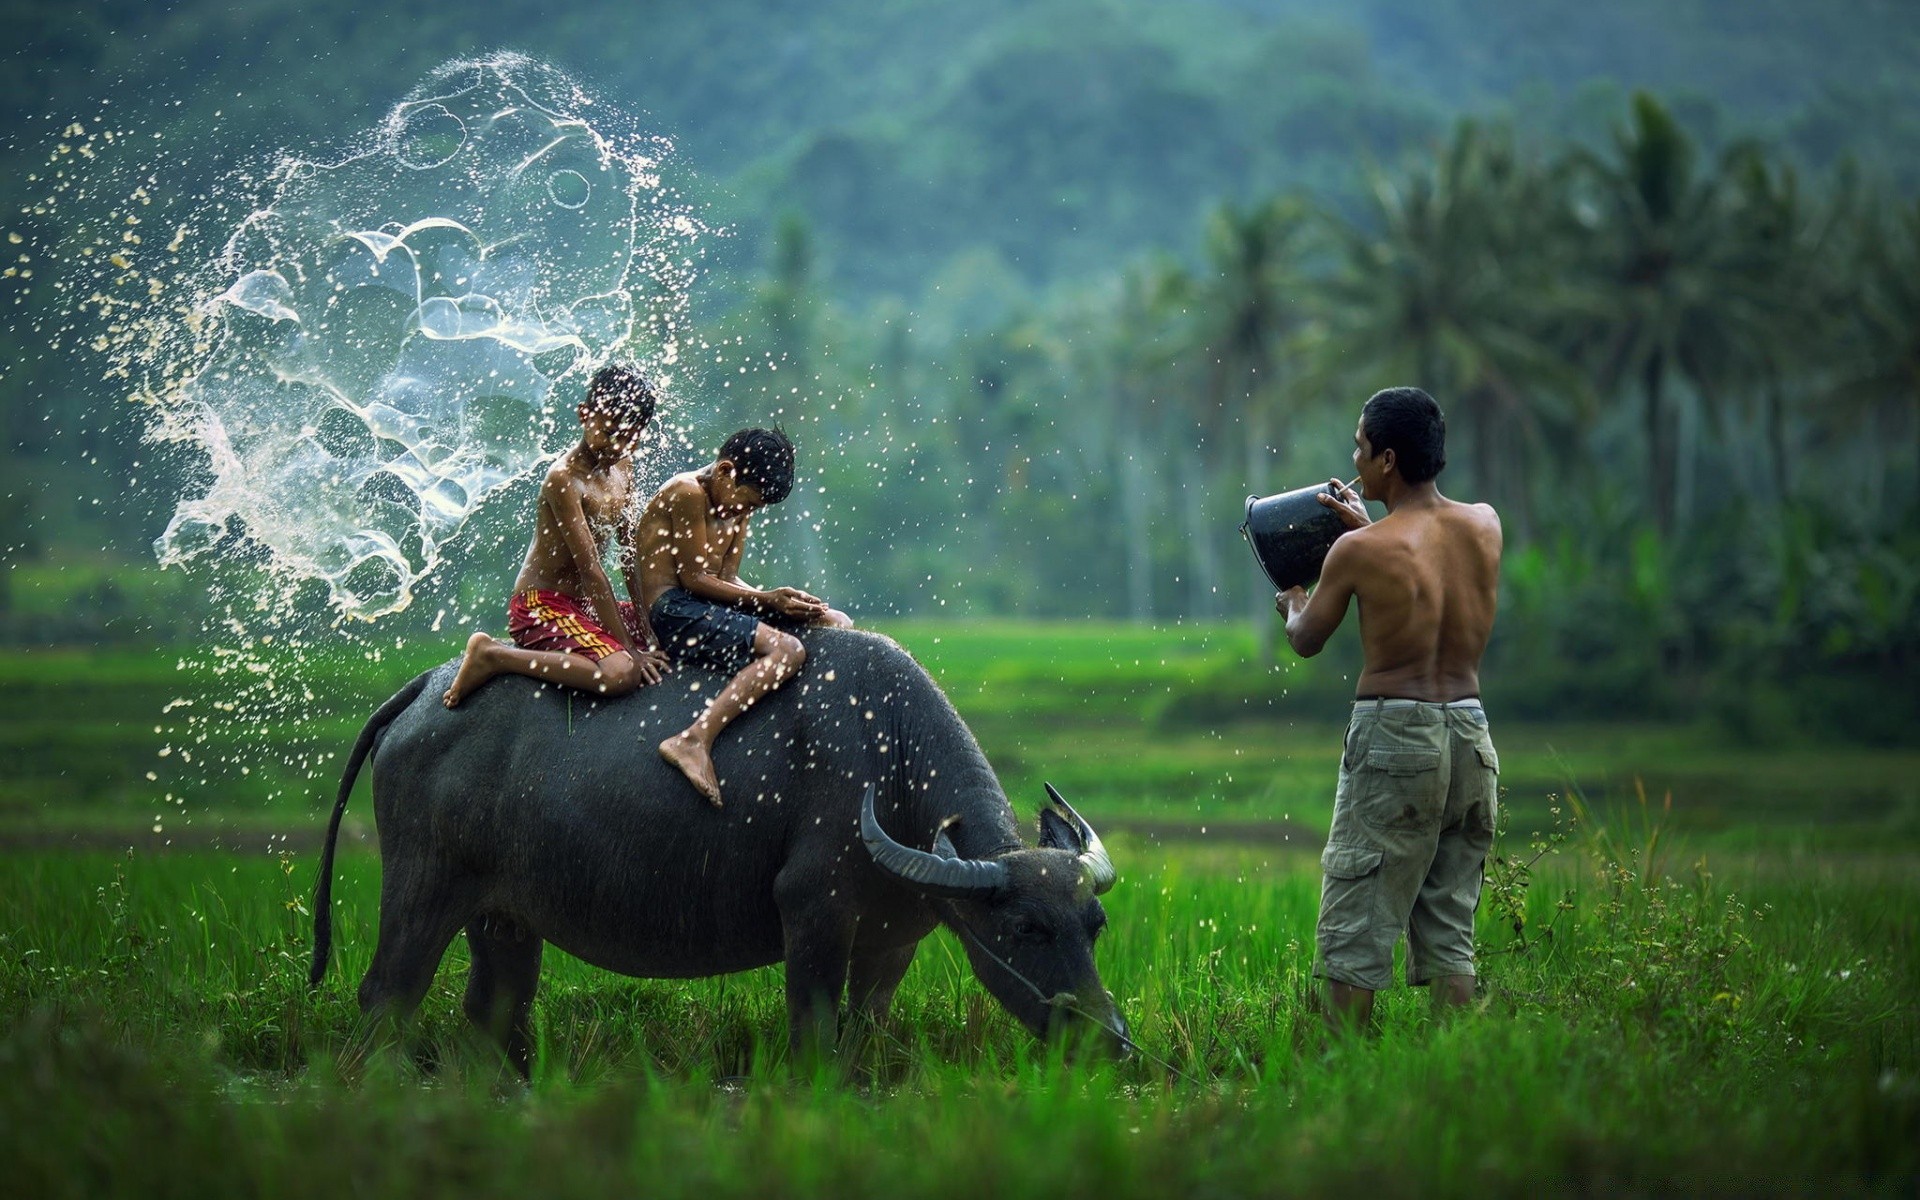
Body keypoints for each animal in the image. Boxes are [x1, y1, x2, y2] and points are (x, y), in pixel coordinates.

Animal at [305, 622, 1121, 1075]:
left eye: (1095, 926)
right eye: (1026, 929)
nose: (1107, 1041)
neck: (889, 758)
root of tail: (423, 690)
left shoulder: (893, 944)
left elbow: (865, 1034)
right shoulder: (814, 915)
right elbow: (814, 1032)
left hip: (502, 917)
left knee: (493, 1009)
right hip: (423, 886)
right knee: (388, 996)